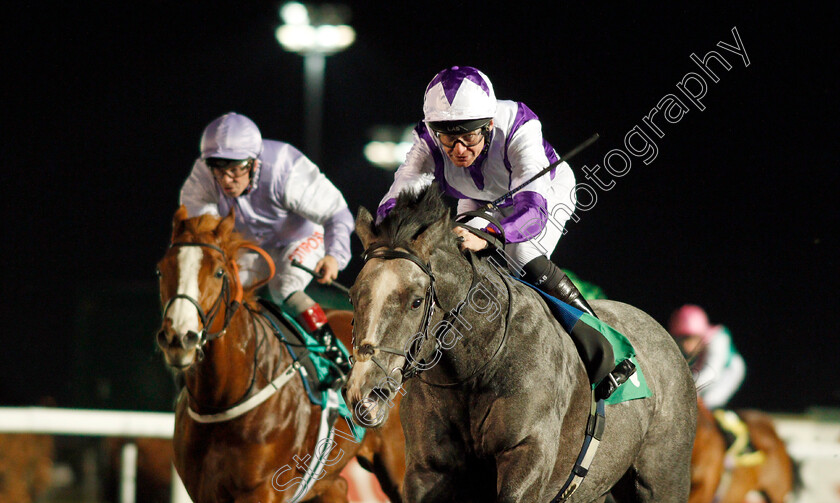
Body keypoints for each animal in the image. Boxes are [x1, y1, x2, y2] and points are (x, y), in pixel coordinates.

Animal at [159, 207, 408, 502]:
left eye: (219, 272)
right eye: (161, 270)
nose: (178, 337)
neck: (222, 399)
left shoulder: (263, 490)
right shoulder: (204, 490)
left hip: (398, 464)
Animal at [342, 188, 696, 503]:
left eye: (416, 301)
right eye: (353, 295)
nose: (366, 392)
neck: (477, 369)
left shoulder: (527, 458)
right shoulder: (428, 470)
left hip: (662, 480)